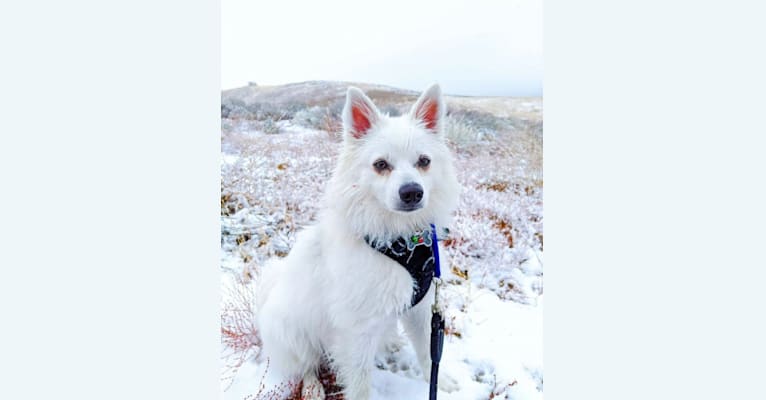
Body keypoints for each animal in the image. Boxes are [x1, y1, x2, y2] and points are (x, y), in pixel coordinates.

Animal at [258, 83, 462, 396]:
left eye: (424, 162)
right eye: (381, 164)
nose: (412, 192)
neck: (402, 240)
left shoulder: (422, 309)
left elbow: (429, 354)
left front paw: (440, 382)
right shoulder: (357, 329)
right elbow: (360, 380)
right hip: (294, 336)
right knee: (306, 367)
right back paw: (314, 388)